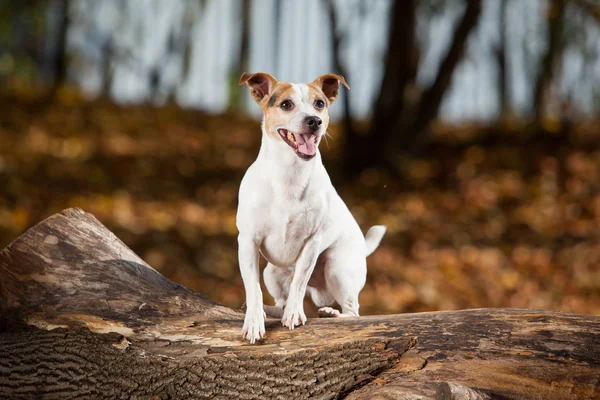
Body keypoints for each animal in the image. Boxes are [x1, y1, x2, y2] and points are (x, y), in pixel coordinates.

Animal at [234, 72, 384, 344]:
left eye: (320, 104)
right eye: (286, 104)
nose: (314, 121)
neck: (289, 174)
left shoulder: (312, 243)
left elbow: (299, 283)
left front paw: (295, 314)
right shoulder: (248, 241)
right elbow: (253, 288)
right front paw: (254, 320)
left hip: (338, 267)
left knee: (353, 312)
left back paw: (331, 313)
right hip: (273, 272)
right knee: (279, 300)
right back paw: (272, 310)